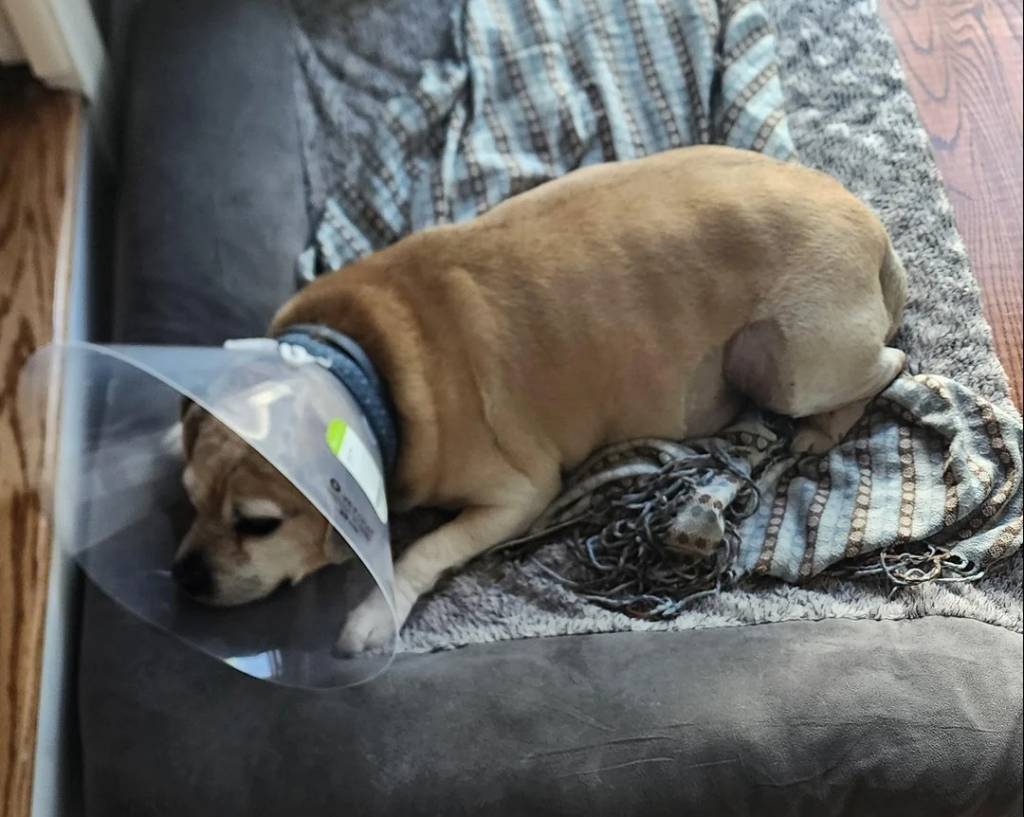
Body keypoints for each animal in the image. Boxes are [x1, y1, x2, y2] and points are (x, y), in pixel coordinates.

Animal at [176, 145, 907, 652]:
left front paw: (374, 614)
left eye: (259, 524)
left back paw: (821, 429)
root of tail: (873, 227)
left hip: (795, 364)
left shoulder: (518, 494)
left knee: (889, 366)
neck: (356, 360)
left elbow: (423, 549)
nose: (184, 578)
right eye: (190, 499)